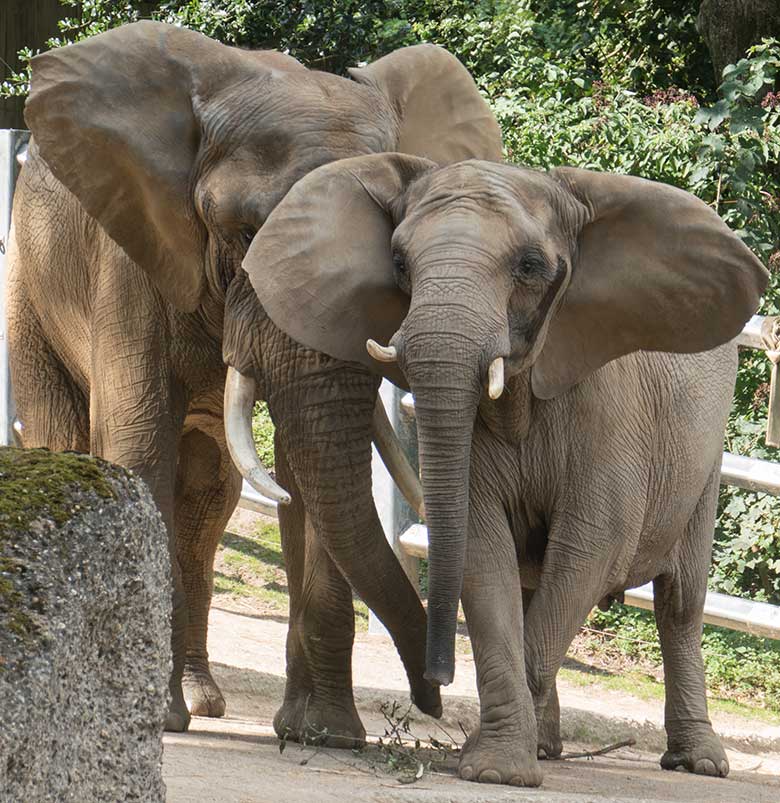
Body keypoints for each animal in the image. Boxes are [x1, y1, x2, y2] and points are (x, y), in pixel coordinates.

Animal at [6, 18, 502, 740]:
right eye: (243, 234)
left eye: (394, 253)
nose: (434, 695)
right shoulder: (132, 253)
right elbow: (140, 443)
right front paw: (154, 720)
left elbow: (307, 474)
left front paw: (324, 734)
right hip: (28, 283)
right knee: (69, 441)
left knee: (211, 493)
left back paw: (204, 700)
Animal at [245, 154, 768, 788]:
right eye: (399, 263)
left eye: (530, 266)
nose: (435, 684)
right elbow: (483, 548)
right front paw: (497, 767)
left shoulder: (609, 413)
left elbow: (592, 548)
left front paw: (491, 763)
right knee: (533, 584)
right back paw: (547, 748)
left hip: (705, 455)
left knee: (680, 601)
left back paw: (699, 763)